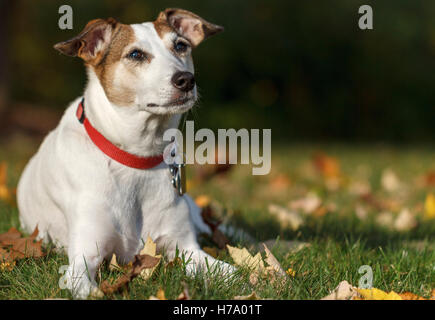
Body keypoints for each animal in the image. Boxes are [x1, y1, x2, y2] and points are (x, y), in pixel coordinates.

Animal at [17, 7, 235, 298]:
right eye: (135, 55)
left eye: (181, 46)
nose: (186, 80)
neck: (136, 159)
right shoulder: (82, 261)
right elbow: (90, 288)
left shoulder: (187, 248)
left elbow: (234, 272)